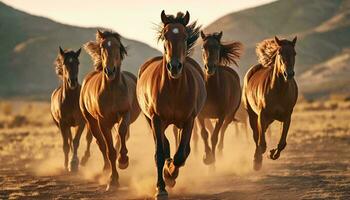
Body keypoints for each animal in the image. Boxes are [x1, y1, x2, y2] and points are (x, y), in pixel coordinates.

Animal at [80, 30, 140, 191]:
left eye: (117, 46)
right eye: (102, 47)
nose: (110, 70)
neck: (112, 90)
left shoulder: (125, 114)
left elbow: (122, 132)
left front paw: (123, 160)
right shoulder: (103, 122)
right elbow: (109, 150)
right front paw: (113, 180)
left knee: (120, 137)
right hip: (91, 122)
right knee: (100, 143)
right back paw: (105, 168)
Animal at [136, 10, 208, 198]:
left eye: (184, 36)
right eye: (164, 35)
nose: (174, 67)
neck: (174, 89)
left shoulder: (189, 121)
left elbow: (181, 154)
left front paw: (170, 175)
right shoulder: (156, 119)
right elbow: (160, 154)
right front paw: (161, 188)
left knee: (181, 149)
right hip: (151, 121)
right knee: (164, 145)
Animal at [197, 30, 243, 165]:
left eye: (217, 47)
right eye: (203, 47)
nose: (209, 67)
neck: (212, 90)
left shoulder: (221, 116)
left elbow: (215, 136)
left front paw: (212, 159)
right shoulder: (200, 116)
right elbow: (204, 134)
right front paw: (206, 156)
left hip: (229, 116)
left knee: (222, 131)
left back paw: (220, 152)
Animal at [243, 36, 298, 170]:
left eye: (294, 53)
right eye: (280, 53)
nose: (289, 74)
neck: (279, 90)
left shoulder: (287, 117)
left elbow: (282, 143)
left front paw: (272, 153)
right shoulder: (262, 116)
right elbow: (261, 143)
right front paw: (257, 161)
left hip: (270, 119)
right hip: (252, 115)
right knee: (256, 135)